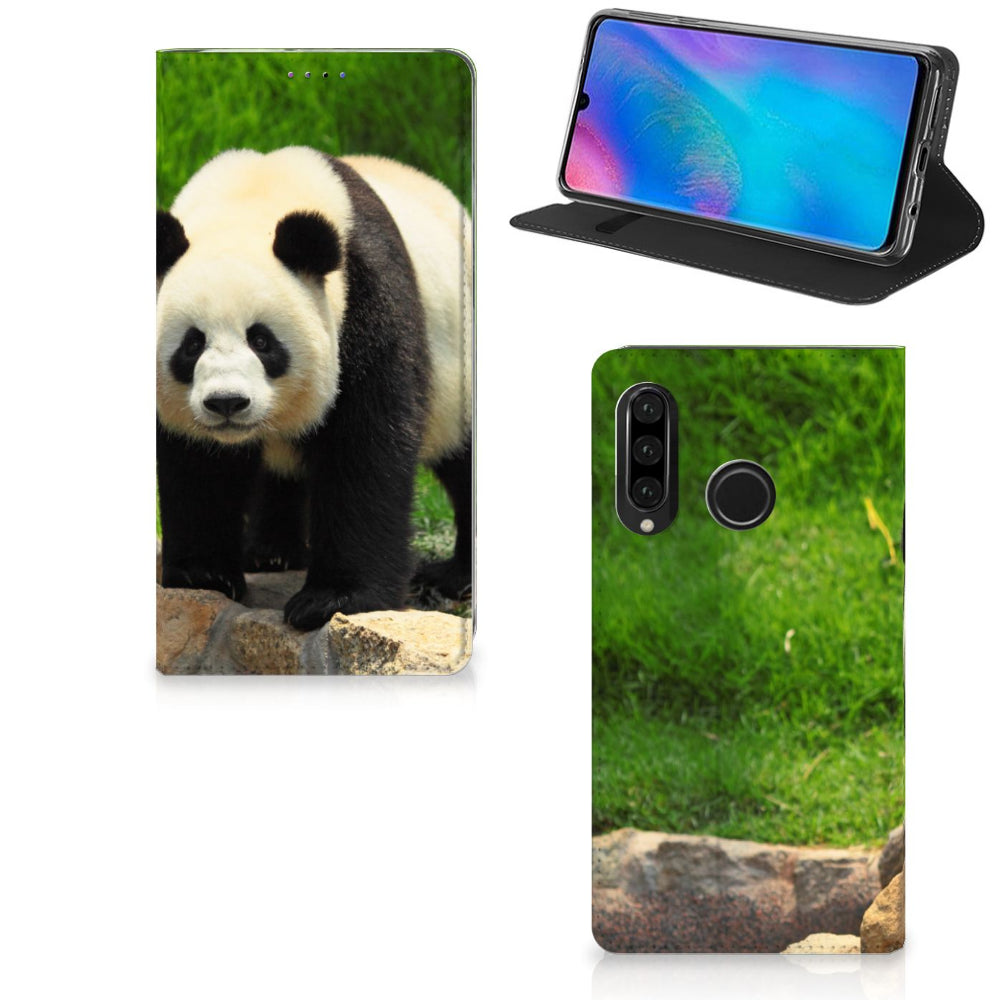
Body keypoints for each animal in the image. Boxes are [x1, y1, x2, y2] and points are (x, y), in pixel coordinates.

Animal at [156, 147, 472, 631]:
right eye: (192, 344)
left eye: (262, 340)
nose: (227, 403)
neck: (251, 198)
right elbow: (197, 464)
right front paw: (202, 574)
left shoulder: (366, 301)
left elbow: (364, 448)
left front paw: (333, 599)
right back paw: (270, 552)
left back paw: (453, 577)